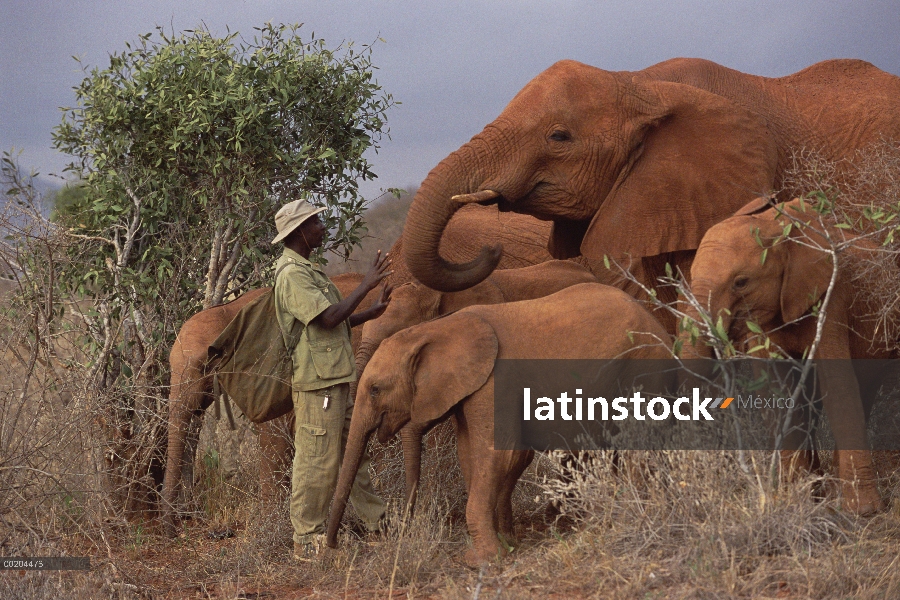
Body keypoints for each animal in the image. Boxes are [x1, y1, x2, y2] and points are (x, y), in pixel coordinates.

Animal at [326, 284, 672, 564]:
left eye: (374, 390)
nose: (332, 546)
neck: (437, 328)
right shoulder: (473, 388)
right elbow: (472, 456)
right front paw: (506, 544)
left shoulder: (496, 379)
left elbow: (500, 454)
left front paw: (481, 560)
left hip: (643, 365)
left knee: (638, 445)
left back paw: (632, 517)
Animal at [680, 198, 896, 516]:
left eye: (741, 282)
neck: (776, 226)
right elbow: (778, 390)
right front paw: (798, 503)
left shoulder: (831, 294)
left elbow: (839, 386)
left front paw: (862, 512)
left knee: (861, 389)